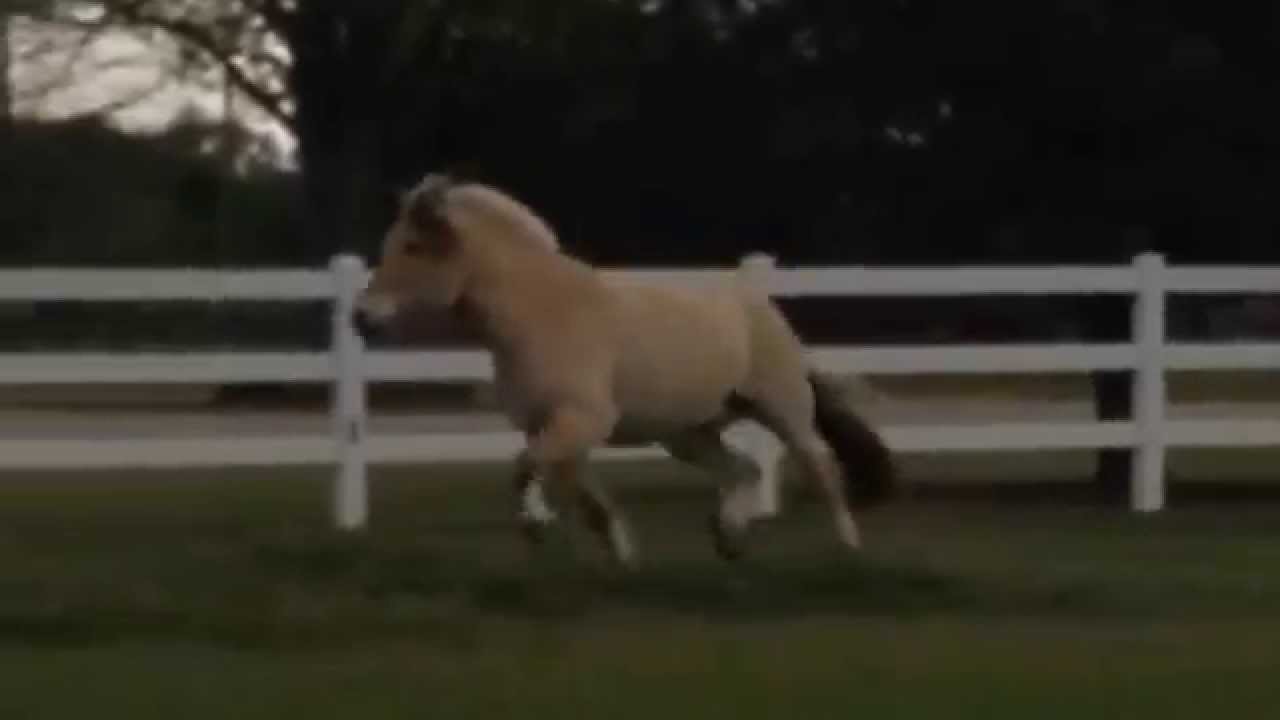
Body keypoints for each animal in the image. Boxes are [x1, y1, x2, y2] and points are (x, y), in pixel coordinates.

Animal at [353, 173, 895, 566]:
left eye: (413, 246)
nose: (361, 318)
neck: (539, 312)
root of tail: (760, 304)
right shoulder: (553, 426)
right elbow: (580, 494)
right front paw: (622, 553)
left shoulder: (582, 420)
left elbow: (526, 467)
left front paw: (536, 524)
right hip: (688, 434)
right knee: (743, 468)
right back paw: (728, 537)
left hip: (781, 409)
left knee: (820, 467)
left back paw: (847, 548)